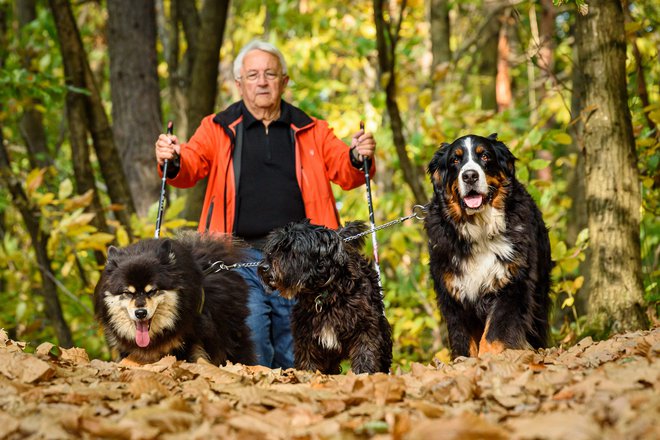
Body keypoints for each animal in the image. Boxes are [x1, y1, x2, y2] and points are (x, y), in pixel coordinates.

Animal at [258, 220, 392, 374]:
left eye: (291, 249)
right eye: (272, 249)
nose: (264, 267)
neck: (324, 292)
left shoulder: (365, 327)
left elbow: (365, 354)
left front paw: (363, 374)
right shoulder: (306, 336)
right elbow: (308, 362)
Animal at [422, 133, 552, 358]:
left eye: (485, 156)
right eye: (455, 160)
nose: (470, 176)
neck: (479, 230)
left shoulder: (512, 282)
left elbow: (494, 333)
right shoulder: (453, 294)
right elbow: (464, 341)